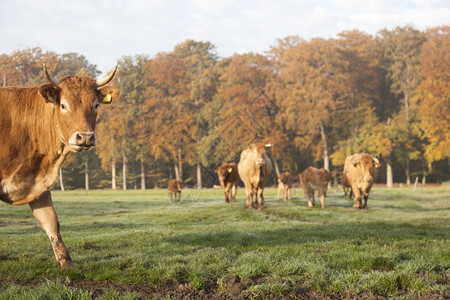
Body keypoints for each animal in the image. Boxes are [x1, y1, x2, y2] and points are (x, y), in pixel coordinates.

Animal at [0, 64, 119, 268]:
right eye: (63, 105)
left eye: (96, 105)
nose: (85, 137)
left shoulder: (39, 184)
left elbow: (51, 221)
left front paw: (67, 262)